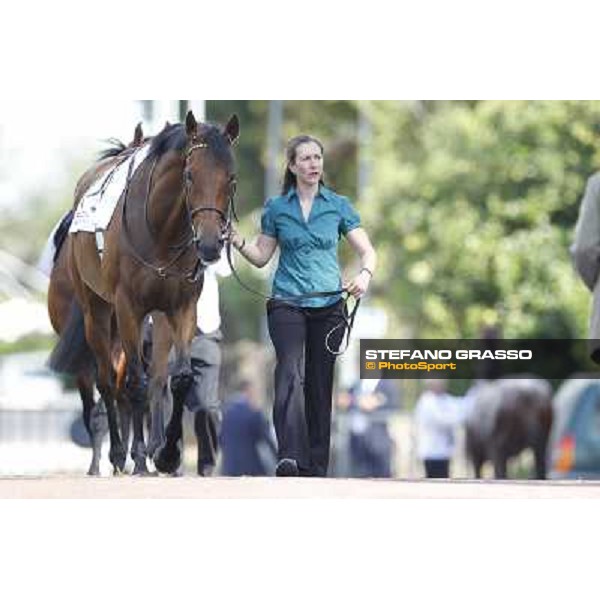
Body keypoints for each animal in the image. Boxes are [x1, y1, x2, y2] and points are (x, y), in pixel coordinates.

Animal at [49, 112, 239, 476]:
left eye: (231, 179)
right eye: (189, 175)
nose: (210, 244)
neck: (161, 231)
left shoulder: (181, 306)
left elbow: (178, 378)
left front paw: (167, 455)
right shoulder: (127, 307)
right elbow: (134, 383)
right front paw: (137, 457)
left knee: (148, 379)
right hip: (97, 310)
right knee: (108, 382)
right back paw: (118, 454)